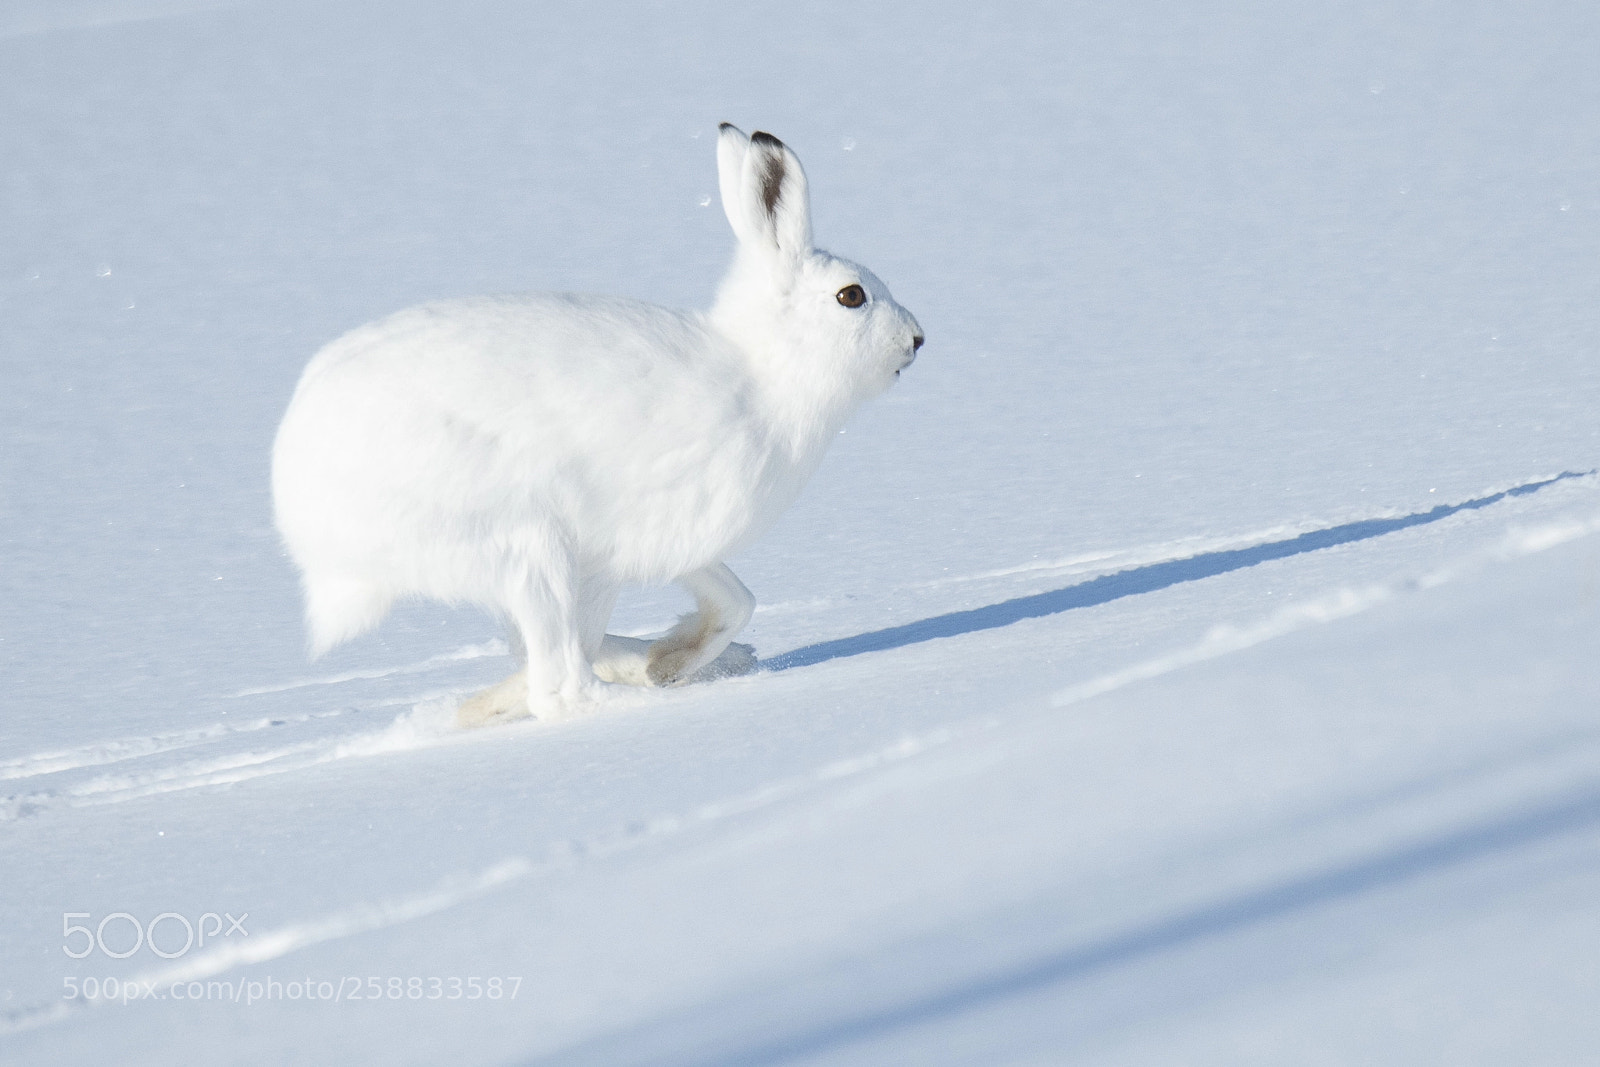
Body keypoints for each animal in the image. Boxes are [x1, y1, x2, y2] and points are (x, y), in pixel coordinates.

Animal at [271, 124, 924, 727]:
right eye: (851, 297)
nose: (916, 339)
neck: (765, 370)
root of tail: (303, 509)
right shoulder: (645, 534)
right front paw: (671, 666)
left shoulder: (661, 550)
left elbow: (738, 597)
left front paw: (673, 659)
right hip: (528, 546)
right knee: (559, 685)